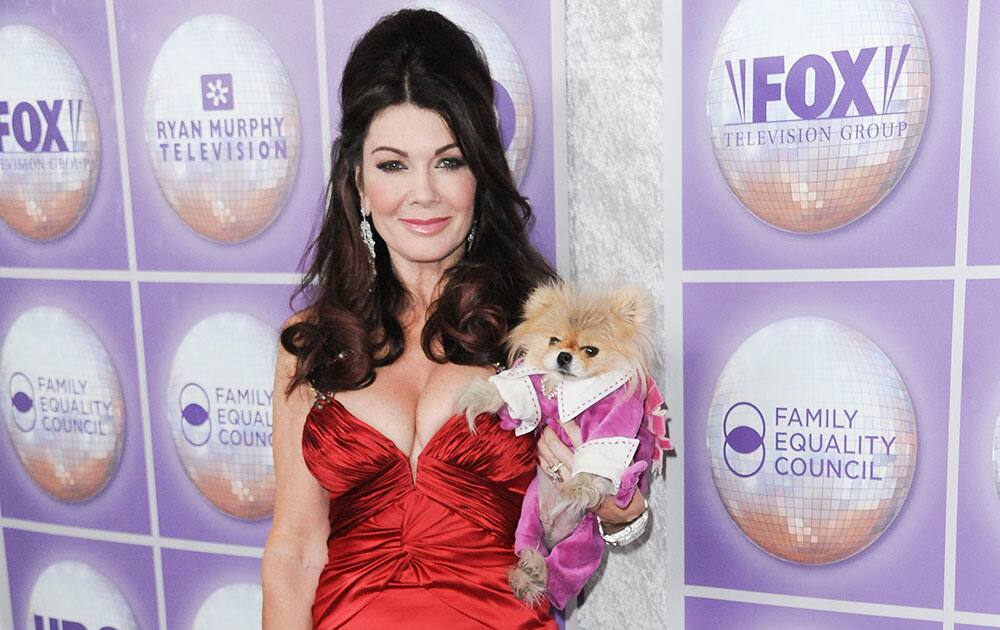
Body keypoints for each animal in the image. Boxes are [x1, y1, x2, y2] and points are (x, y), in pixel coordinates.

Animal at [458, 284, 660, 608]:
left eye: (590, 350)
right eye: (553, 341)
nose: (563, 356)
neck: (568, 388)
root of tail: (555, 533)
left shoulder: (615, 421)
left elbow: (597, 457)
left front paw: (579, 486)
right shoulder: (537, 404)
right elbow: (514, 400)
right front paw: (480, 396)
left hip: (582, 547)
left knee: (560, 572)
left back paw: (537, 574)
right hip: (529, 514)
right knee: (530, 548)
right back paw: (526, 574)